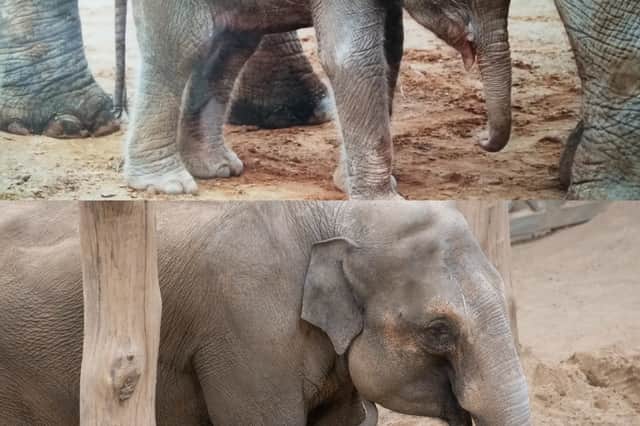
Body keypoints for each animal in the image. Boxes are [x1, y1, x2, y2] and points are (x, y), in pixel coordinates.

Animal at [124, 0, 513, 197]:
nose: (481, 139)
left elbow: (389, 46)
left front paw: (353, 185)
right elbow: (352, 56)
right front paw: (383, 200)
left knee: (230, 48)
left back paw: (217, 169)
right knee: (182, 45)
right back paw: (167, 185)